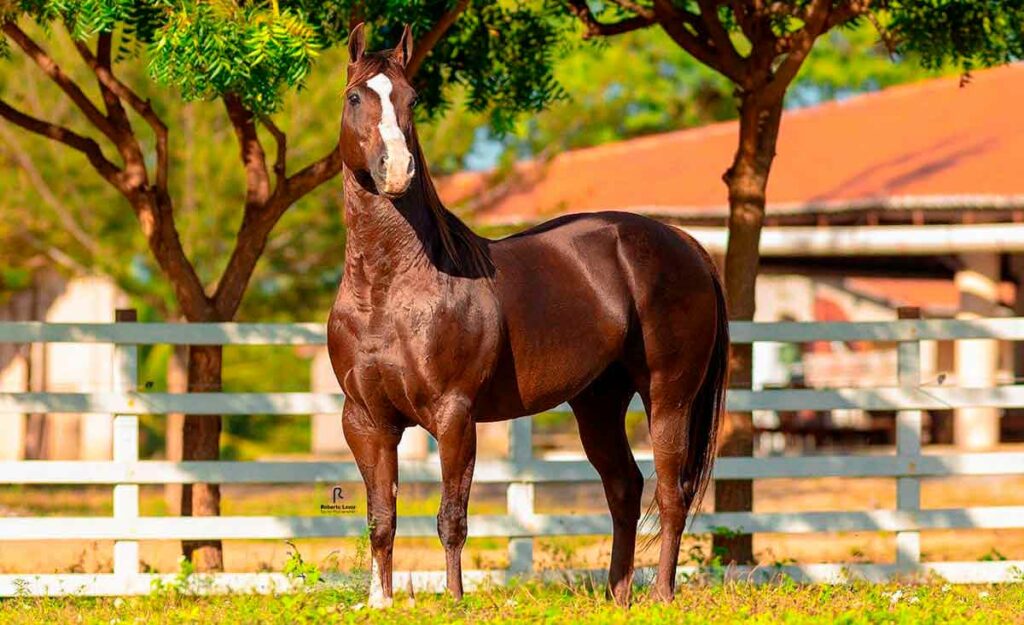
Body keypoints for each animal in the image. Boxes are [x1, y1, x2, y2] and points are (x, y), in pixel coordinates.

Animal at [327, 23, 729, 602]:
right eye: (356, 97)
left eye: (412, 98)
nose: (396, 171)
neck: (388, 290)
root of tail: (686, 244)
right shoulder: (366, 421)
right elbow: (381, 518)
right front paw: (379, 602)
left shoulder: (454, 415)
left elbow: (452, 518)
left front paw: (454, 601)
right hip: (598, 404)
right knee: (625, 488)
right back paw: (618, 596)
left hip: (668, 397)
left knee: (672, 494)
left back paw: (661, 597)